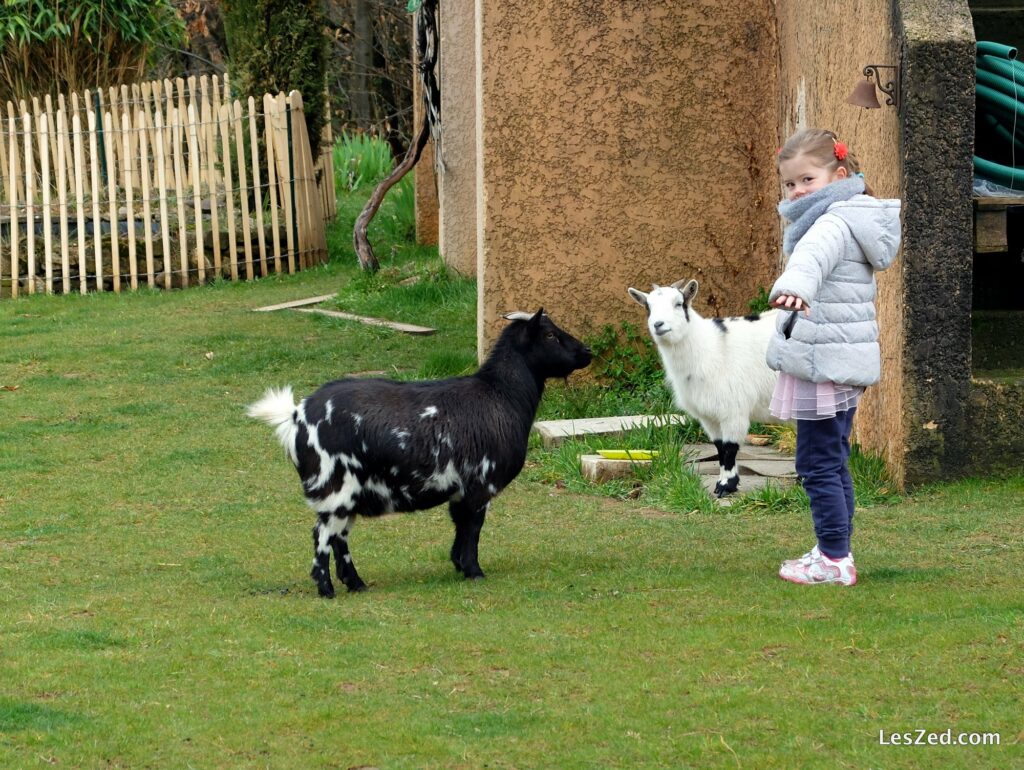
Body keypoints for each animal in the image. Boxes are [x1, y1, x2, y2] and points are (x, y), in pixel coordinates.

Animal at [244, 309, 593, 597]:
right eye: (549, 335)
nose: (587, 352)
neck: (500, 395)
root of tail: (296, 416)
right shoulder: (480, 487)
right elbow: (473, 530)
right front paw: (475, 572)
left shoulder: (460, 493)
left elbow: (460, 528)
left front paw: (459, 566)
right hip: (335, 489)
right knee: (322, 537)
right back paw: (327, 590)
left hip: (344, 497)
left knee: (339, 538)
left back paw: (356, 585)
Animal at [626, 280, 778, 495]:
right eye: (648, 307)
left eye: (678, 303)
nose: (658, 324)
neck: (710, 348)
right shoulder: (708, 415)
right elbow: (720, 447)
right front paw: (724, 482)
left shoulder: (733, 409)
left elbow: (730, 448)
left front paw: (726, 486)